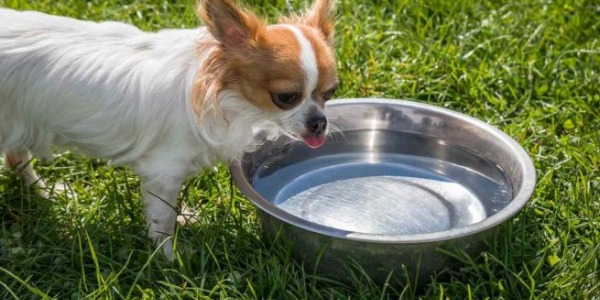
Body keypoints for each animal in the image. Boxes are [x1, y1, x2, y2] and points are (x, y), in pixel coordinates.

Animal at [0, 0, 338, 258]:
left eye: (330, 92)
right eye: (286, 97)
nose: (319, 122)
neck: (226, 96)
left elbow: (169, 209)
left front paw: (182, 221)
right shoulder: (164, 171)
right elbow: (161, 217)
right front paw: (169, 257)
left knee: (16, 157)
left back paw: (45, 192)